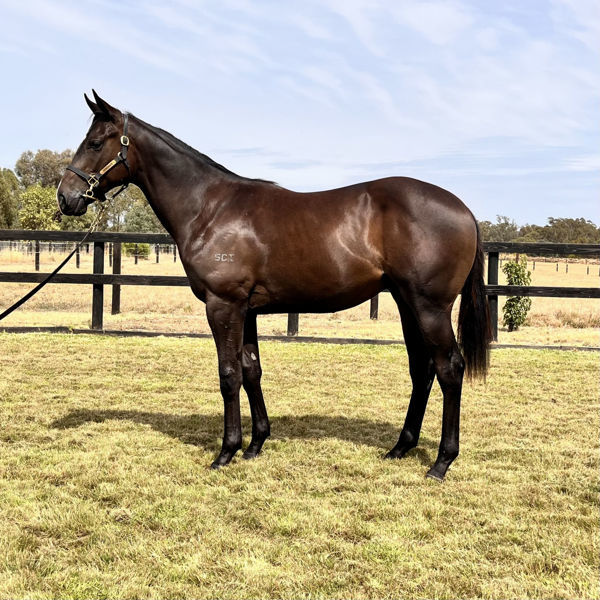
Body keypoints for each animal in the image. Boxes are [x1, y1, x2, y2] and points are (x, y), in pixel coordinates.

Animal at [56, 90, 490, 482]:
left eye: (95, 143)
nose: (65, 198)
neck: (210, 208)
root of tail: (464, 209)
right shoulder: (246, 310)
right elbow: (251, 371)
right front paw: (255, 444)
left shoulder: (223, 305)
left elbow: (228, 374)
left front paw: (226, 452)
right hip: (406, 303)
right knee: (422, 369)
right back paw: (401, 448)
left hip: (429, 307)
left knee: (449, 368)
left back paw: (441, 462)